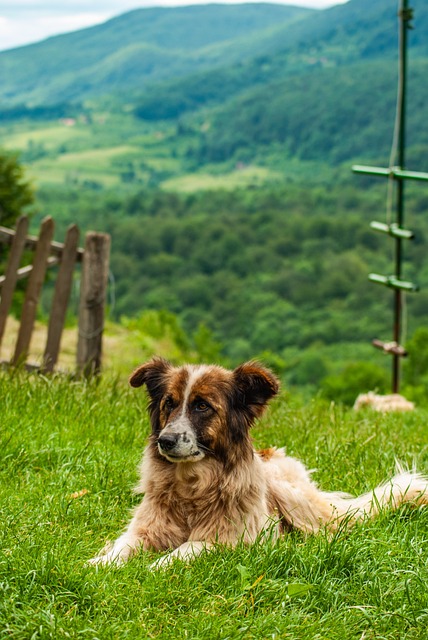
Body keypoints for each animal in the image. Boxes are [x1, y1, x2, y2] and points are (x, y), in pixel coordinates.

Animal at [88, 358, 428, 568]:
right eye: (168, 403)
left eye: (202, 406)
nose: (165, 441)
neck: (191, 490)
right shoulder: (145, 529)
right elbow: (122, 547)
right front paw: (98, 564)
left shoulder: (228, 539)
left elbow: (186, 549)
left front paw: (156, 566)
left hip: (291, 496)